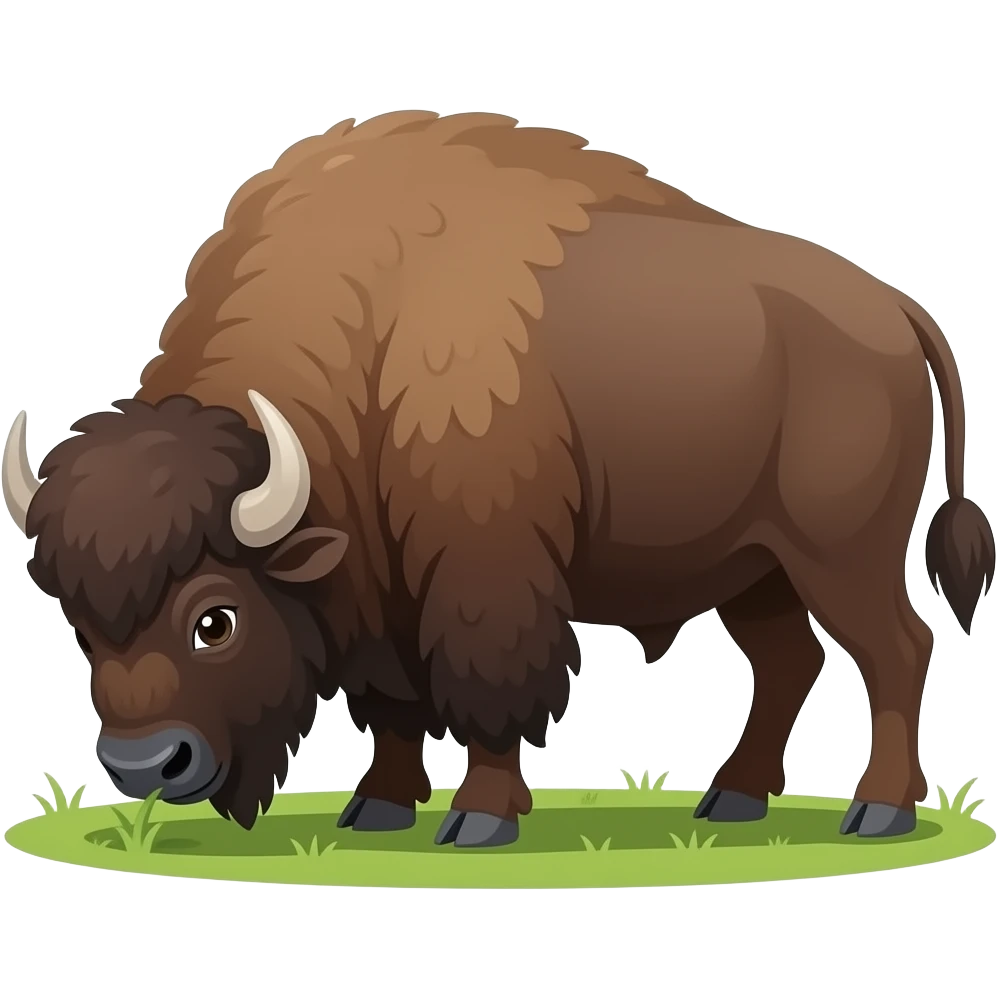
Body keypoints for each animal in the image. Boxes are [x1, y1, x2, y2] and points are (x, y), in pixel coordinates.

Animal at [2, 110, 994, 847]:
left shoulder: (481, 572)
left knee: (896, 650)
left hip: (840, 556)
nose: (144, 766)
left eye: (216, 618)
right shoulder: (376, 587)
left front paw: (478, 819)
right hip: (755, 568)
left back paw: (878, 811)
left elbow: (487, 685)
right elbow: (390, 702)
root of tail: (897, 309)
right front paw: (378, 808)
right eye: (75, 618)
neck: (368, 332)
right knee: (792, 659)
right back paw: (735, 799)